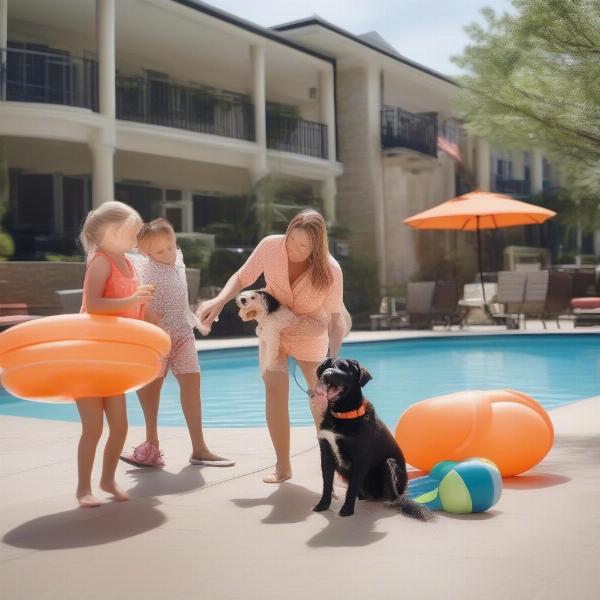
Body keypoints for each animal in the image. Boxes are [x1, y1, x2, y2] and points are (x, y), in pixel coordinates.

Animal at [314, 356, 432, 520]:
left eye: (343, 367)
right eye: (326, 366)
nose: (326, 375)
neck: (342, 415)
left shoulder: (360, 457)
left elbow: (351, 487)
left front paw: (347, 509)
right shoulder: (326, 454)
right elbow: (327, 484)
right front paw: (323, 505)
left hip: (390, 464)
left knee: (396, 496)